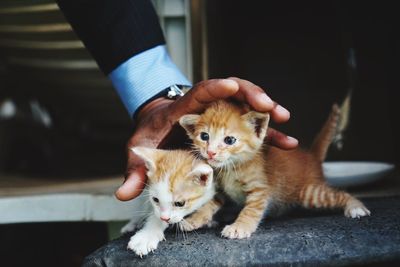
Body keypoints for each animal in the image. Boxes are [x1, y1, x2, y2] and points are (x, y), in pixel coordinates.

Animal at [180, 100, 370, 241]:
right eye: (204, 136)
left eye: (229, 140)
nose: (210, 152)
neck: (231, 168)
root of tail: (311, 156)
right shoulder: (220, 190)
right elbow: (206, 206)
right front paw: (194, 220)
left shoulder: (260, 189)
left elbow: (251, 210)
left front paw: (239, 227)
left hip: (309, 193)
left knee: (339, 194)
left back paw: (355, 206)